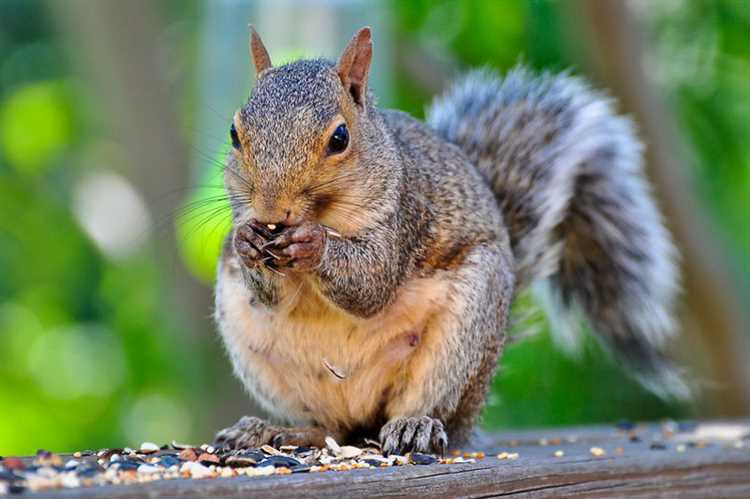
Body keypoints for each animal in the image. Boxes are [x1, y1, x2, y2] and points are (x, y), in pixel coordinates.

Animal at [212, 27, 688, 456]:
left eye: (340, 137)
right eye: (234, 134)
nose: (272, 212)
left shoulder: (405, 215)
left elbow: (371, 283)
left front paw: (313, 243)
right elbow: (272, 294)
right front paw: (247, 242)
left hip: (462, 340)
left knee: (427, 409)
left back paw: (414, 427)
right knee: (332, 428)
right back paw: (274, 431)